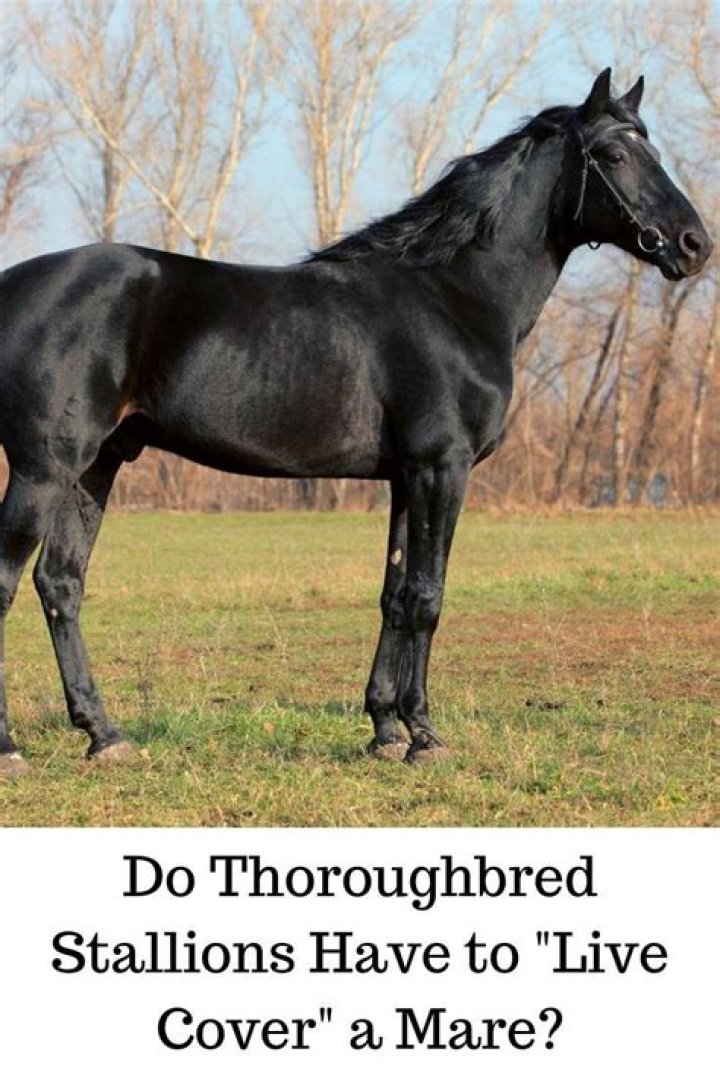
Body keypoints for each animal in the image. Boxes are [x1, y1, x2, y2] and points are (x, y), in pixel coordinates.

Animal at [0, 69, 712, 775]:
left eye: (651, 147)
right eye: (615, 155)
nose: (694, 244)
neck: (453, 297)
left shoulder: (405, 477)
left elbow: (394, 594)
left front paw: (384, 730)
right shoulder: (442, 468)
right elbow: (427, 595)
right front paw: (424, 735)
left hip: (95, 467)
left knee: (60, 584)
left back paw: (105, 735)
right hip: (44, 469)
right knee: (10, 581)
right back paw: (12, 748)